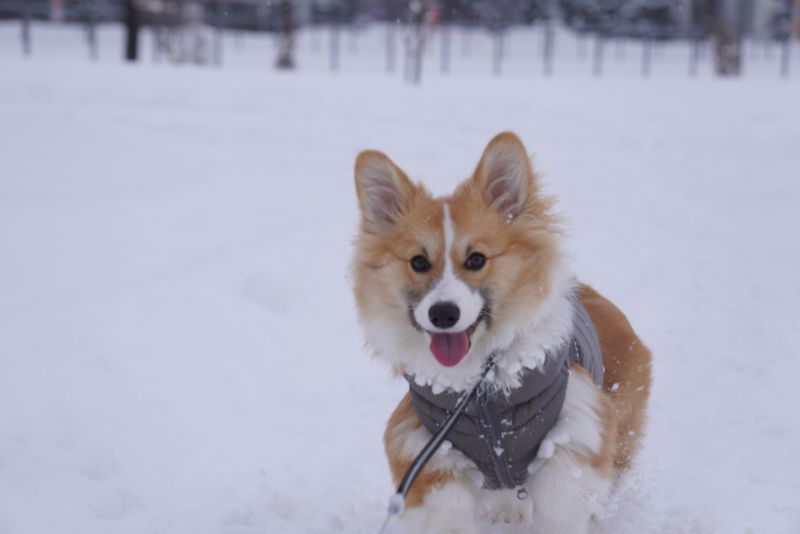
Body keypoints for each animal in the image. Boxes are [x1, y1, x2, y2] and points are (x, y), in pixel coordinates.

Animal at [354, 131, 652, 534]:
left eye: (476, 259)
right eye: (418, 262)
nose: (443, 314)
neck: (483, 393)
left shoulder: (580, 426)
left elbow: (561, 499)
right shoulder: (424, 442)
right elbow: (447, 508)